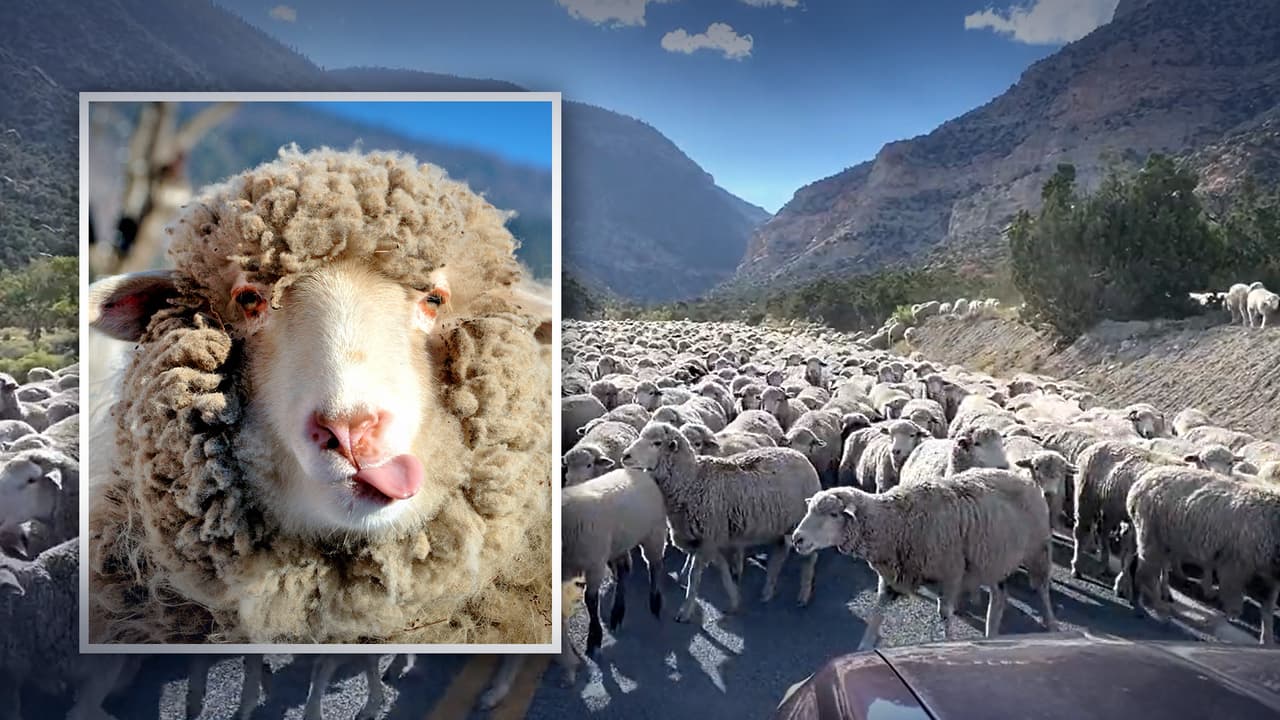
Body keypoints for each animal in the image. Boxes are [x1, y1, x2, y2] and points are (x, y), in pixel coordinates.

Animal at [622, 422, 821, 622]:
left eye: (656, 443)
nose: (625, 456)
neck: (691, 481)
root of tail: (802, 456)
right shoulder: (709, 539)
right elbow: (723, 569)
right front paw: (734, 600)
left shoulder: (708, 539)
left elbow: (694, 576)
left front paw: (685, 610)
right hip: (779, 524)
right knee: (780, 551)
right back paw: (767, 590)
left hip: (802, 522)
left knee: (810, 558)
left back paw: (803, 594)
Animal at [790, 470, 1057, 650]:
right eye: (810, 510)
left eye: (834, 514)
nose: (797, 539)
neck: (895, 522)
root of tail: (1026, 479)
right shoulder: (891, 578)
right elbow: (876, 614)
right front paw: (863, 649)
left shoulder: (950, 575)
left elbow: (945, 614)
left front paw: (949, 644)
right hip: (992, 561)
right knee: (1000, 597)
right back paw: (991, 635)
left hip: (1037, 550)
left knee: (1042, 588)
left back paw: (1052, 625)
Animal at [1126, 467, 1280, 644]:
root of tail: (1139, 483)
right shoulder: (1235, 567)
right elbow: (1235, 602)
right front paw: (1232, 617)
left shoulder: (1270, 576)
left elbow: (1267, 609)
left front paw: (1267, 639)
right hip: (1151, 535)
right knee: (1146, 573)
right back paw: (1156, 605)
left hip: (1161, 540)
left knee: (1141, 566)